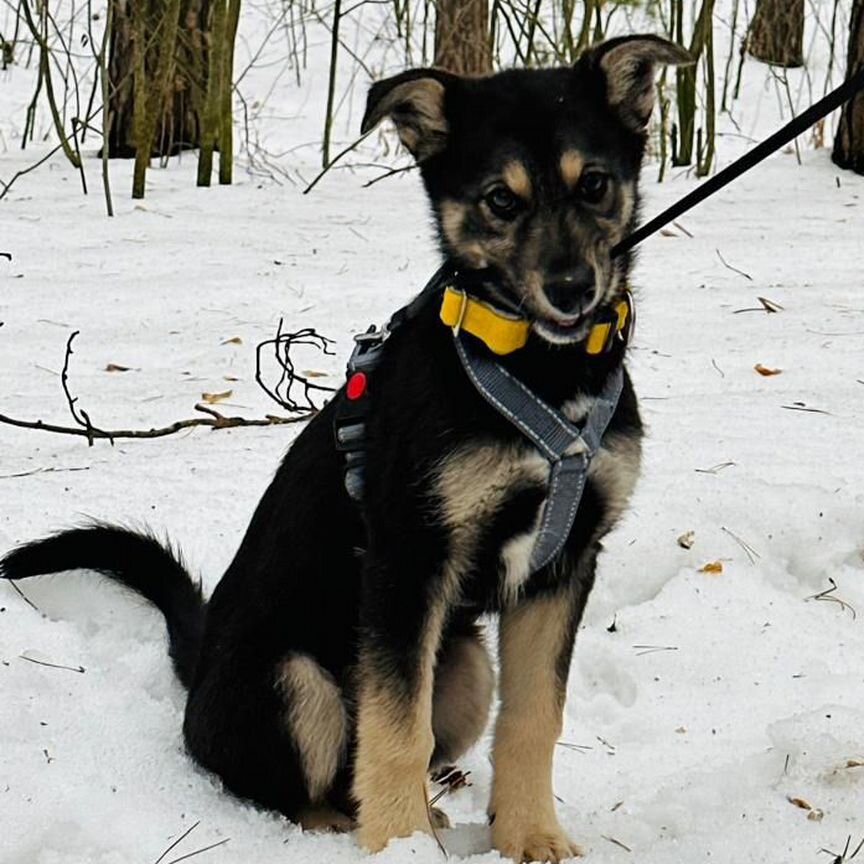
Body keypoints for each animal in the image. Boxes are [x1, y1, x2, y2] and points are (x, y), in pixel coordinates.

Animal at [0, 35, 688, 864]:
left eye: (594, 184)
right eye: (500, 199)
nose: (572, 289)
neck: (543, 373)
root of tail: (197, 673)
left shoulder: (563, 567)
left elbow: (532, 720)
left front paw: (530, 835)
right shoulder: (408, 562)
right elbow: (394, 729)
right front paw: (398, 843)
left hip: (465, 666)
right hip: (292, 678)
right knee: (291, 783)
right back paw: (358, 824)